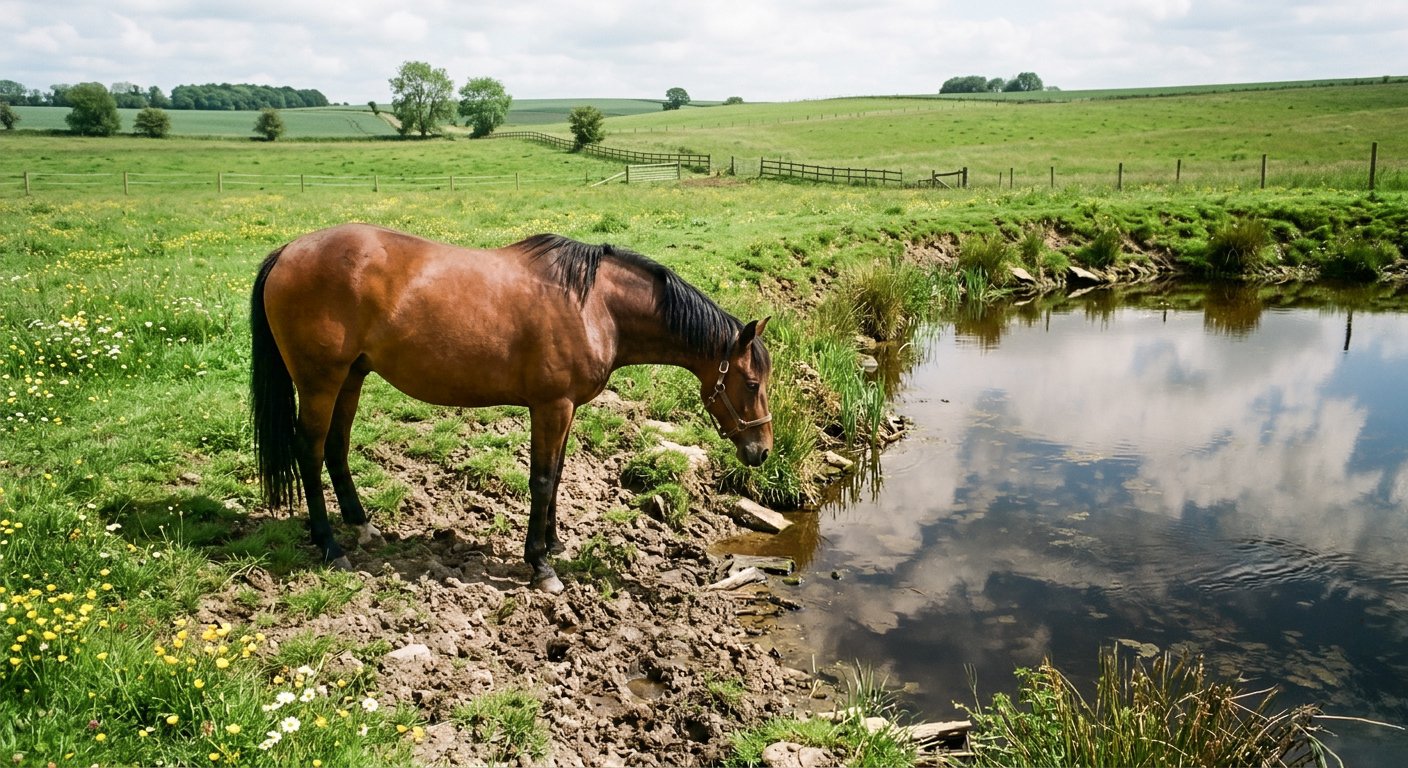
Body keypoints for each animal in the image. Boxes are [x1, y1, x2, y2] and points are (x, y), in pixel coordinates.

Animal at [249, 223, 773, 594]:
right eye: (751, 382)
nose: (763, 449)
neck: (596, 306)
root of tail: (288, 252)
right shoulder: (551, 406)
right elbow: (541, 480)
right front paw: (540, 565)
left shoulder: (566, 409)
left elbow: (557, 475)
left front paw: (553, 543)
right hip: (320, 382)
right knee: (310, 451)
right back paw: (329, 544)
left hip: (351, 378)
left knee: (336, 448)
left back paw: (362, 526)